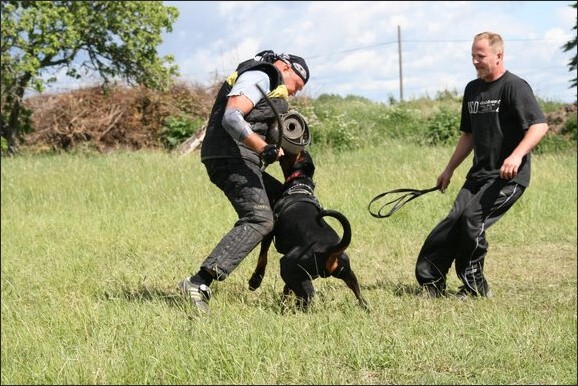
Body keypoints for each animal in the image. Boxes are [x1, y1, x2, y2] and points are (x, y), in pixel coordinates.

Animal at [246, 149, 364, 312]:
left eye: (300, 154)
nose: (304, 148)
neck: (299, 188)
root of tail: (330, 250)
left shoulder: (270, 231)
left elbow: (263, 256)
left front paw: (255, 281)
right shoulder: (299, 276)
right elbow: (287, 289)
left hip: (287, 265)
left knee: (308, 298)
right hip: (347, 274)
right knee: (361, 298)